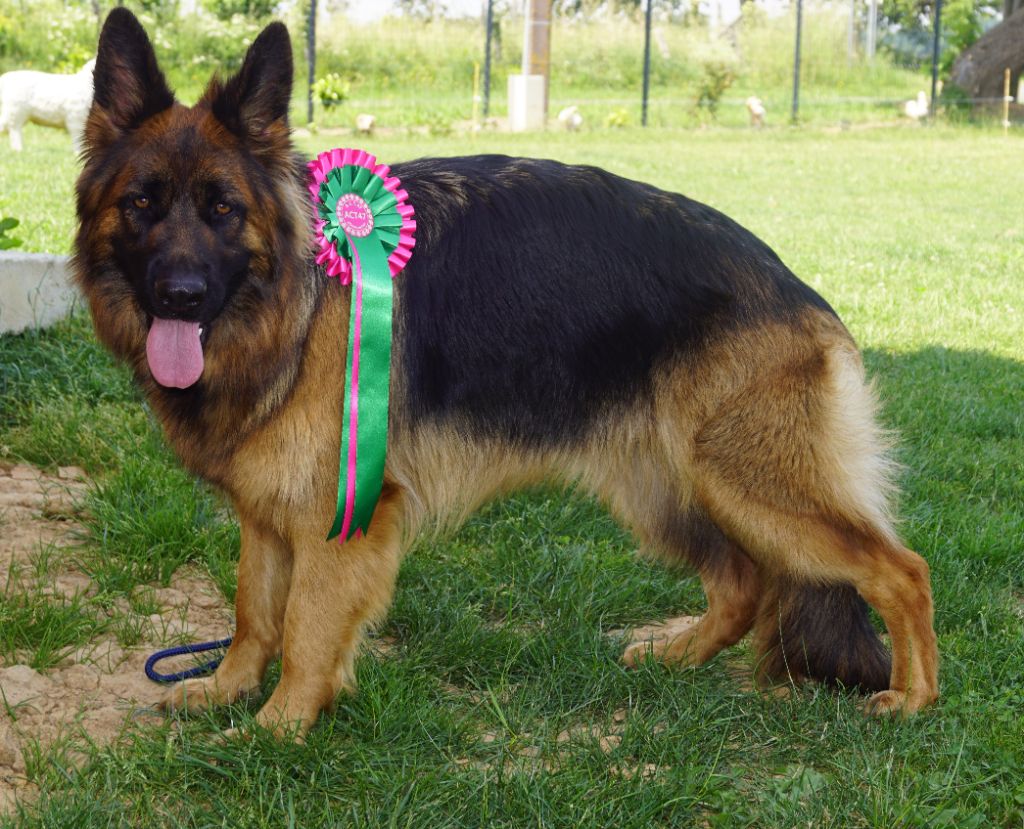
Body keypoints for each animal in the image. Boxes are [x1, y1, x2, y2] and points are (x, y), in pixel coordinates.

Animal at [70, 11, 937, 736]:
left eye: (222, 210)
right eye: (142, 204)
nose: (179, 295)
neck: (298, 296)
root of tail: (795, 287)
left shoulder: (340, 514)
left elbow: (308, 627)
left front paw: (278, 726)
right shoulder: (269, 508)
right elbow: (254, 609)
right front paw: (227, 689)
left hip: (750, 484)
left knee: (902, 569)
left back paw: (914, 696)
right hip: (667, 486)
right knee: (744, 582)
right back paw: (677, 657)